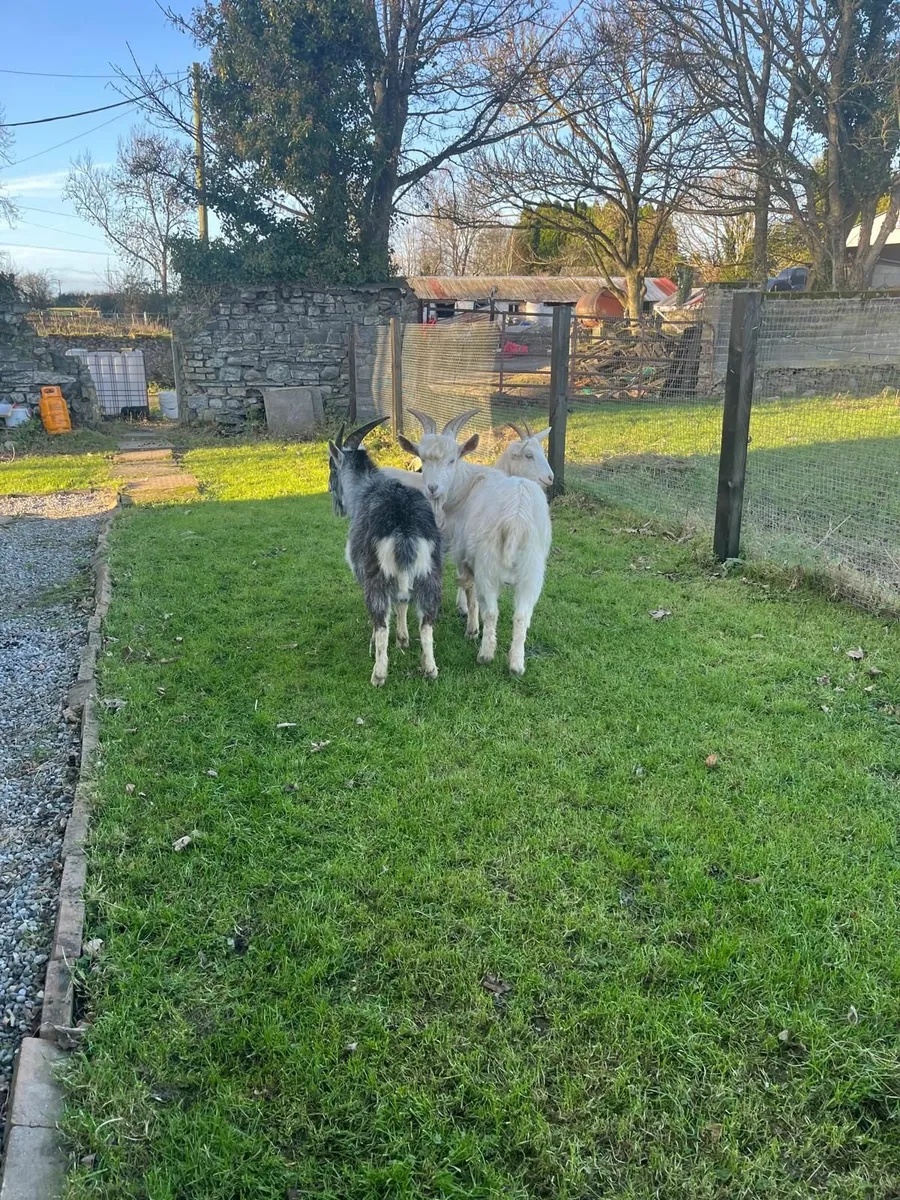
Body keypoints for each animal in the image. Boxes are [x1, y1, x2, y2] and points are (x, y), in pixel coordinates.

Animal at [328, 418, 442, 687]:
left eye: (331, 467)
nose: (331, 495)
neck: (364, 489)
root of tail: (403, 526)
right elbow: (402, 601)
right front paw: (403, 640)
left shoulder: (361, 572)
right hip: (431, 572)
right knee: (426, 621)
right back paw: (430, 668)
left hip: (375, 575)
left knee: (381, 621)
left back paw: (378, 674)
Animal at [400, 410, 552, 676]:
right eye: (423, 459)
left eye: (452, 460)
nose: (432, 488)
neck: (467, 485)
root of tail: (517, 517)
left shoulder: (463, 552)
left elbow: (469, 589)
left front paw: (471, 627)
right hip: (532, 568)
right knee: (521, 614)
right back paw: (516, 664)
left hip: (488, 563)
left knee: (491, 610)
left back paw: (485, 653)